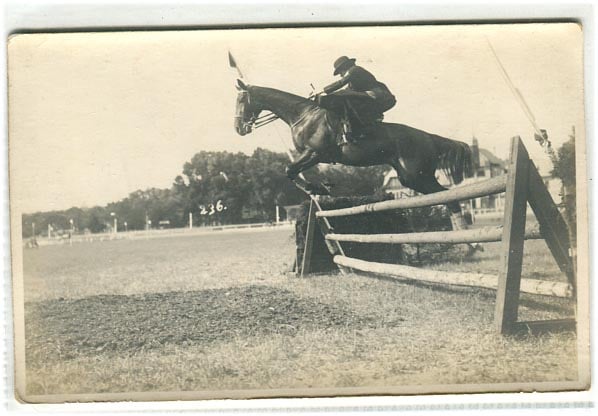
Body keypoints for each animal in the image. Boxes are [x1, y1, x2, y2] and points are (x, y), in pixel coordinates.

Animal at [234, 80, 474, 231]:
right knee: (446, 198)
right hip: (411, 178)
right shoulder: (312, 156)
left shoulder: (315, 152)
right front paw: (320, 187)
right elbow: (293, 172)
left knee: (449, 198)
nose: (238, 128)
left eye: (241, 101)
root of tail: (429, 137)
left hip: (417, 175)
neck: (303, 116)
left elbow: (289, 170)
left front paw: (319, 188)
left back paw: (469, 243)